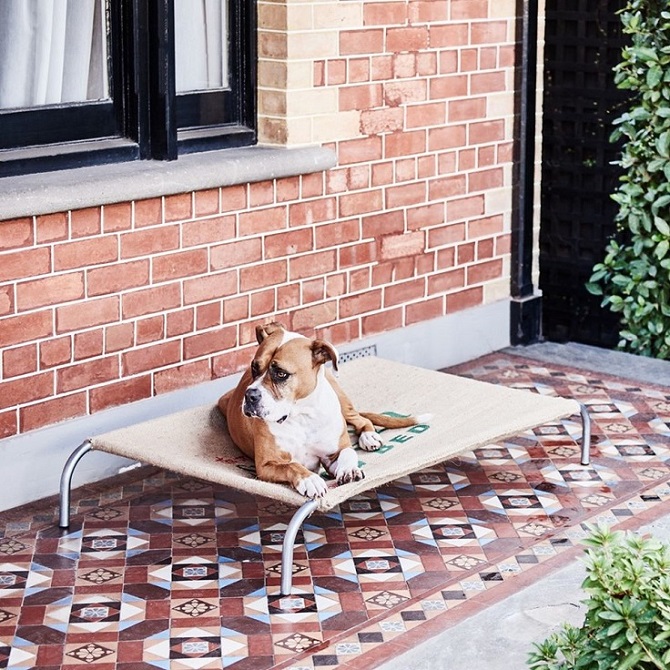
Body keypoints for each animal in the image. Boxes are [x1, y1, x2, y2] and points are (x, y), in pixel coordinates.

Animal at [220, 322, 430, 502]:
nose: (250, 395)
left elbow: (348, 453)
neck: (301, 415)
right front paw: (310, 479)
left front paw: (350, 469)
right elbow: (292, 466)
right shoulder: (266, 465)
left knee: (361, 419)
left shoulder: (333, 454)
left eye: (281, 374)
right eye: (254, 368)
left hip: (341, 398)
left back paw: (369, 436)